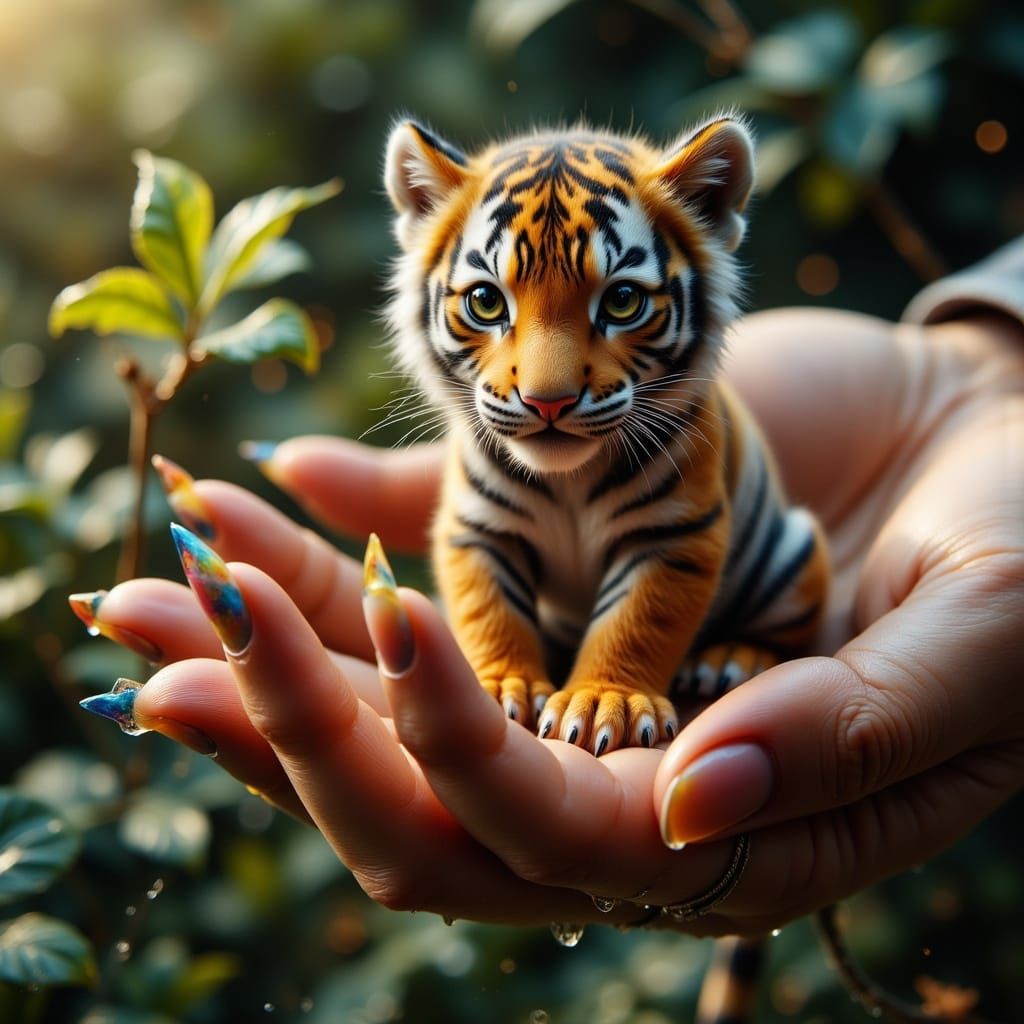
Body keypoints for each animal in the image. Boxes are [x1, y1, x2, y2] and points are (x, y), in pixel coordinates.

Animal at [382, 114, 829, 758]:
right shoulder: (479, 530)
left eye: (621, 301)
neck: (568, 477)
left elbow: (636, 620)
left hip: (791, 555)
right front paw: (498, 688)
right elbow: (487, 610)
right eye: (487, 301)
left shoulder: (672, 533)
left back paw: (729, 659)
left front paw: (599, 703)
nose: (548, 400)